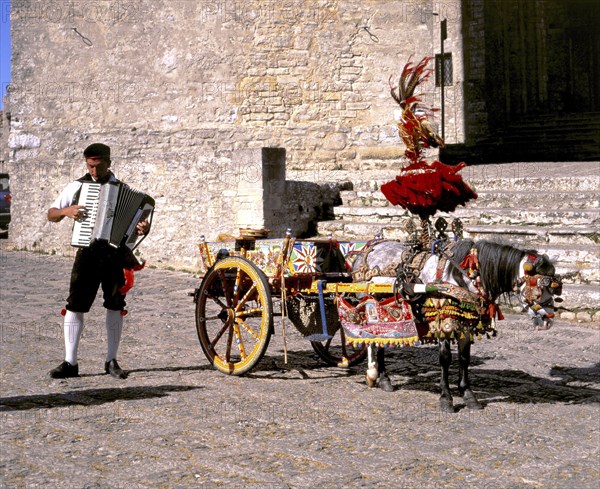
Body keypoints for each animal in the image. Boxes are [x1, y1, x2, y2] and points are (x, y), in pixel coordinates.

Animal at [350, 237, 564, 412]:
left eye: (555, 289)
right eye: (539, 287)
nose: (548, 320)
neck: (465, 274)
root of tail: (368, 248)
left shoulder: (466, 323)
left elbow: (464, 359)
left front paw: (468, 396)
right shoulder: (445, 319)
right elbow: (445, 359)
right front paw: (446, 398)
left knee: (380, 341)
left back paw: (380, 378)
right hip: (369, 304)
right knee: (374, 340)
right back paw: (376, 375)